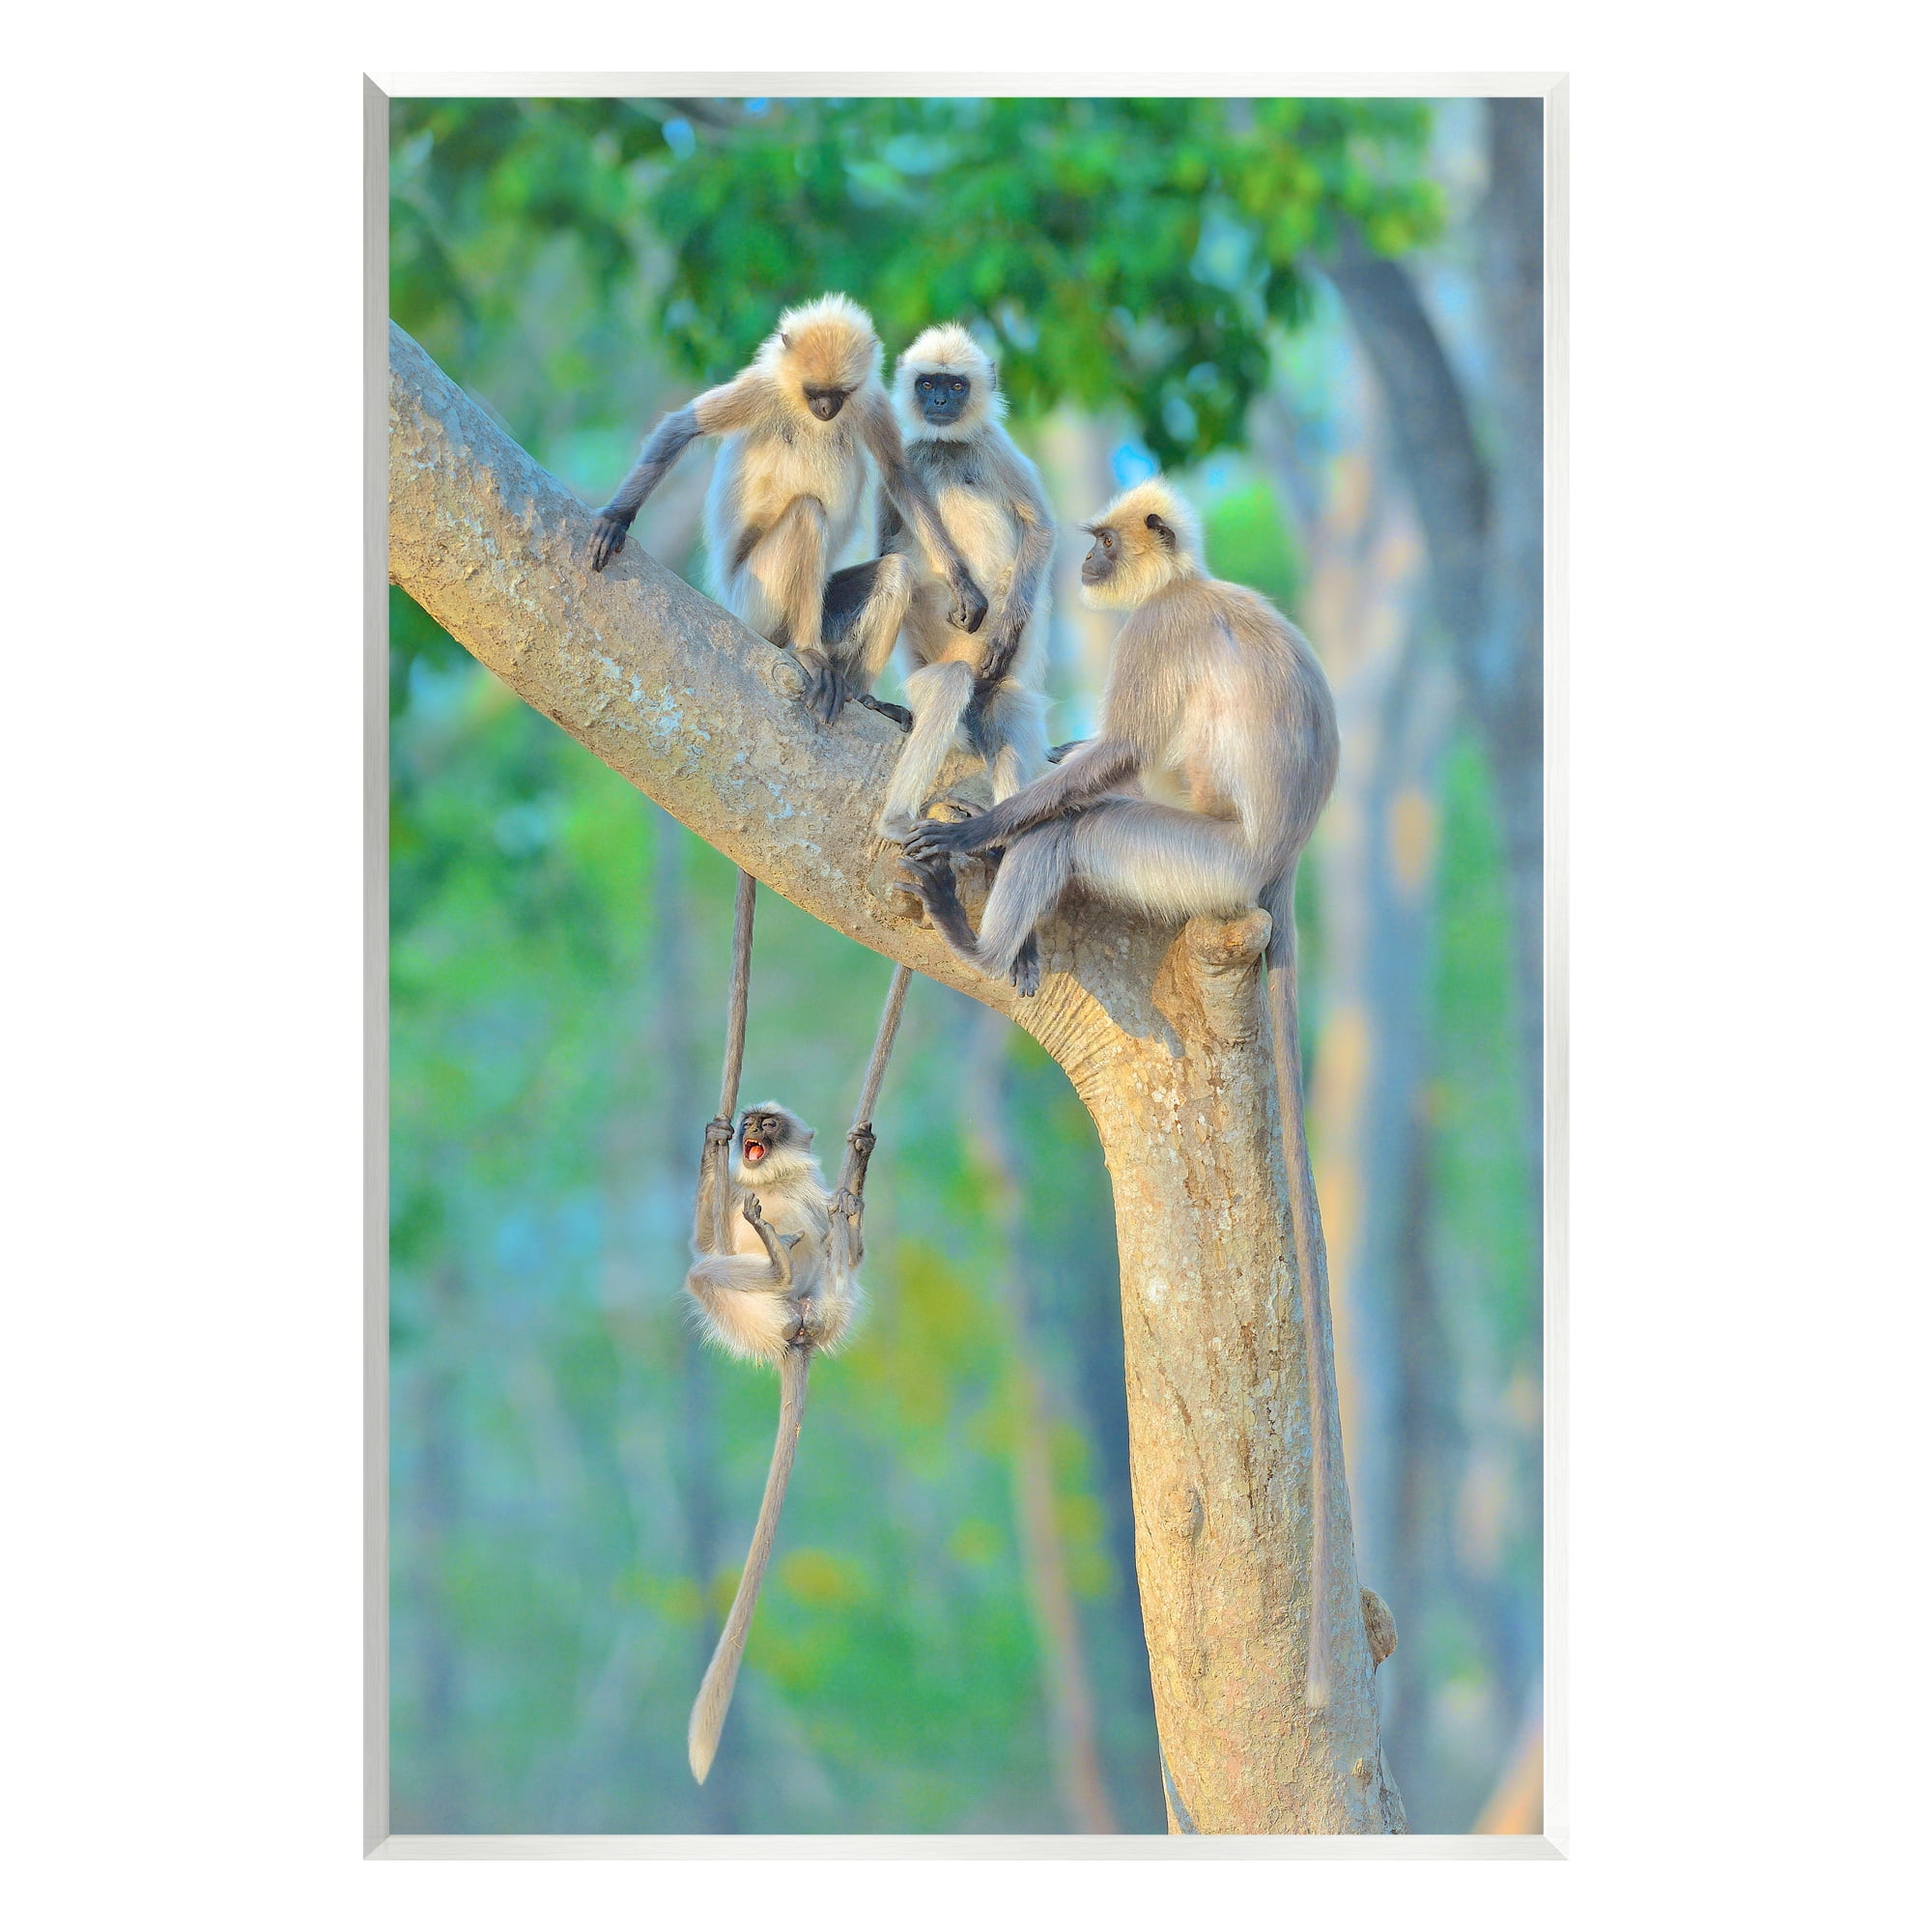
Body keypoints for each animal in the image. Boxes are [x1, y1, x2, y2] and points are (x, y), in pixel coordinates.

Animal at [587, 293, 988, 725]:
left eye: (839, 394)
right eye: (814, 392)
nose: (826, 408)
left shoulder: (870, 400)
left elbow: (900, 477)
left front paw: (962, 583)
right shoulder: (762, 387)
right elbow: (682, 427)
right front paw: (616, 518)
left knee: (897, 570)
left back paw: (862, 695)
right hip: (755, 599)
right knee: (808, 514)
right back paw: (807, 652)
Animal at [681, 1099, 870, 1782]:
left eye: (769, 1121)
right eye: (751, 1121)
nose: (749, 1131)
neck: (774, 1183)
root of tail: (800, 1333)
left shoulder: (813, 1196)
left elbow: (852, 1246)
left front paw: (856, 1177)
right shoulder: (739, 1196)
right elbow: (704, 1241)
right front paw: (712, 1142)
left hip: (827, 1308)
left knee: (826, 1267)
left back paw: (790, 1256)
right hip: (756, 1319)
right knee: (706, 1272)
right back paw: (776, 1264)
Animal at [856, 323, 1054, 842]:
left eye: (956, 386)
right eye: (928, 384)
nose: (941, 402)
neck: (947, 447)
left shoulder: (994, 445)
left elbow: (1040, 529)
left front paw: (1004, 631)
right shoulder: (905, 458)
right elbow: (886, 551)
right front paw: (962, 586)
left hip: (997, 678)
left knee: (1004, 704)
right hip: (930, 676)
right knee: (948, 684)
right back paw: (896, 819)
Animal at [901, 477, 1351, 1707]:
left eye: (1102, 541)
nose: (1090, 564)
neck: (1188, 583)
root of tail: (1275, 867)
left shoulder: (1155, 635)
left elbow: (1115, 758)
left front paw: (977, 827)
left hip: (1193, 865)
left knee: (1086, 826)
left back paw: (982, 939)